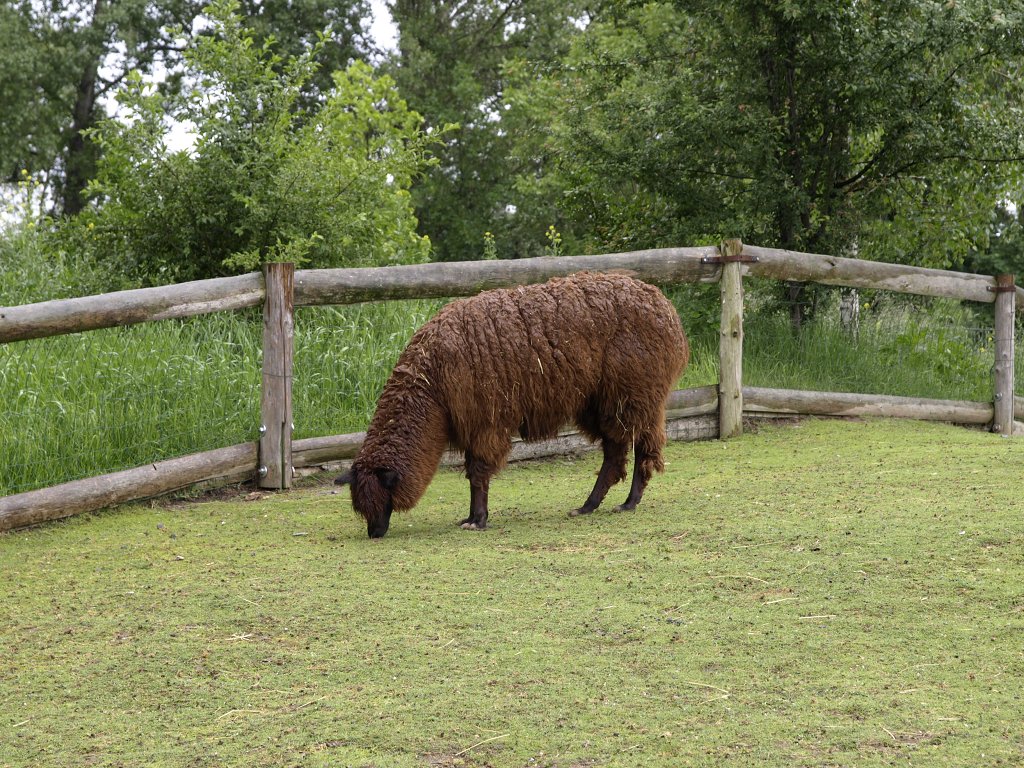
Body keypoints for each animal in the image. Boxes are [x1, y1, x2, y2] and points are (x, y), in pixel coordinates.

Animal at [335, 274, 688, 536]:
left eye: (383, 499)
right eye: (361, 506)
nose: (374, 532)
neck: (433, 380)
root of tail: (668, 310)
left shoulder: (485, 419)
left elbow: (478, 472)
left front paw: (477, 520)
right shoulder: (472, 421)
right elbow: (473, 471)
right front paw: (471, 517)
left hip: (633, 392)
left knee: (641, 446)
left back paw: (628, 502)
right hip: (603, 401)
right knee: (618, 451)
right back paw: (588, 506)